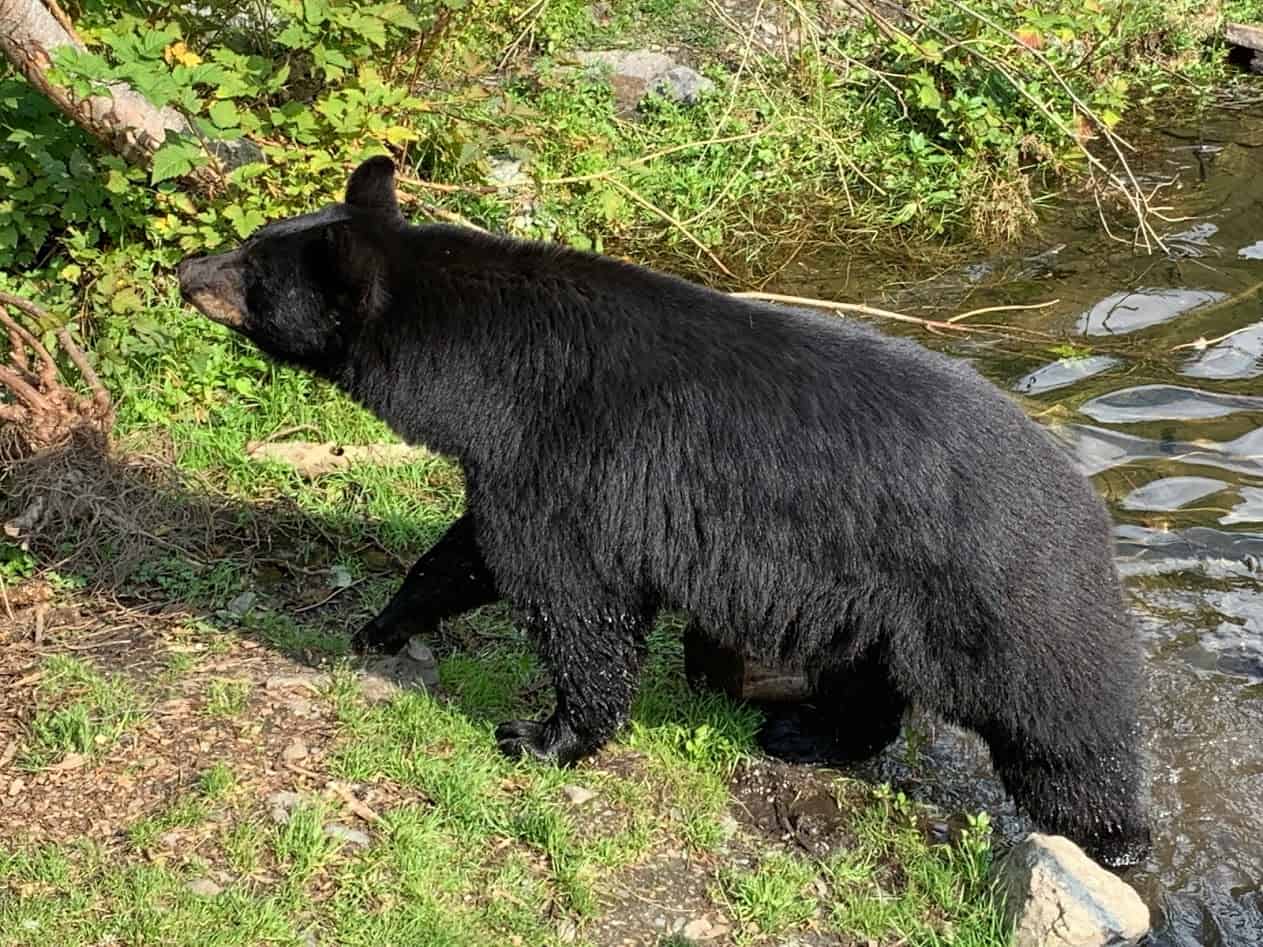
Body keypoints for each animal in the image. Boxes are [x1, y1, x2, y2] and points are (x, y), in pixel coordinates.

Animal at [178, 157, 1156, 868]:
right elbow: (465, 554)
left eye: (250, 268)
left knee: (1060, 726)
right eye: (252, 240)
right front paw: (378, 625)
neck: (484, 374)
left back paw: (1114, 837)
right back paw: (803, 732)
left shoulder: (567, 460)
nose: (183, 267)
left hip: (1000, 601)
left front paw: (542, 735)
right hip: (877, 600)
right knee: (867, 685)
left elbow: (573, 601)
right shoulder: (514, 467)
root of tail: (1085, 502)